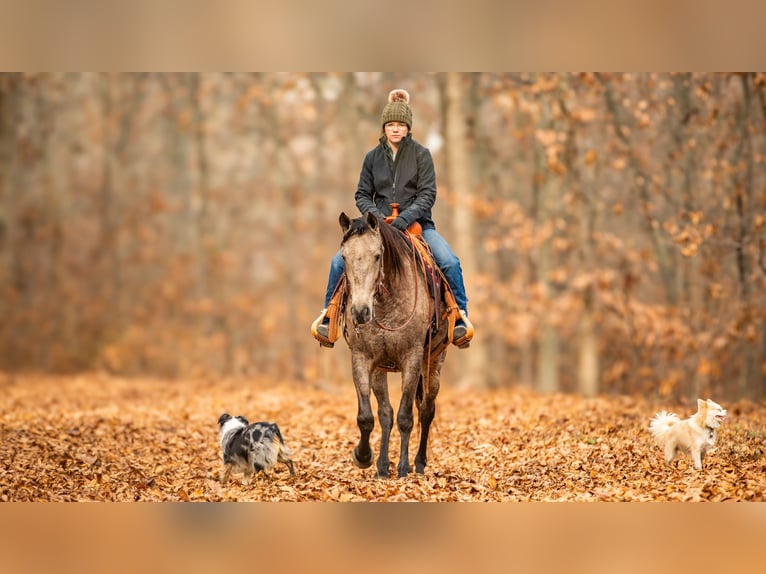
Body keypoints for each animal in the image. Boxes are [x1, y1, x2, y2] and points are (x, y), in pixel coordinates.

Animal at [338, 214, 456, 480]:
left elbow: (405, 417)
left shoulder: (412, 358)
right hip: (382, 369)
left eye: (377, 255)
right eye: (344, 257)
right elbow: (371, 416)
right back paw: (383, 465)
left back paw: (419, 463)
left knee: (426, 410)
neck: (384, 305)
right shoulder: (363, 359)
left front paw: (403, 469)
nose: (360, 312)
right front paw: (365, 458)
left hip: (434, 362)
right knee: (387, 414)